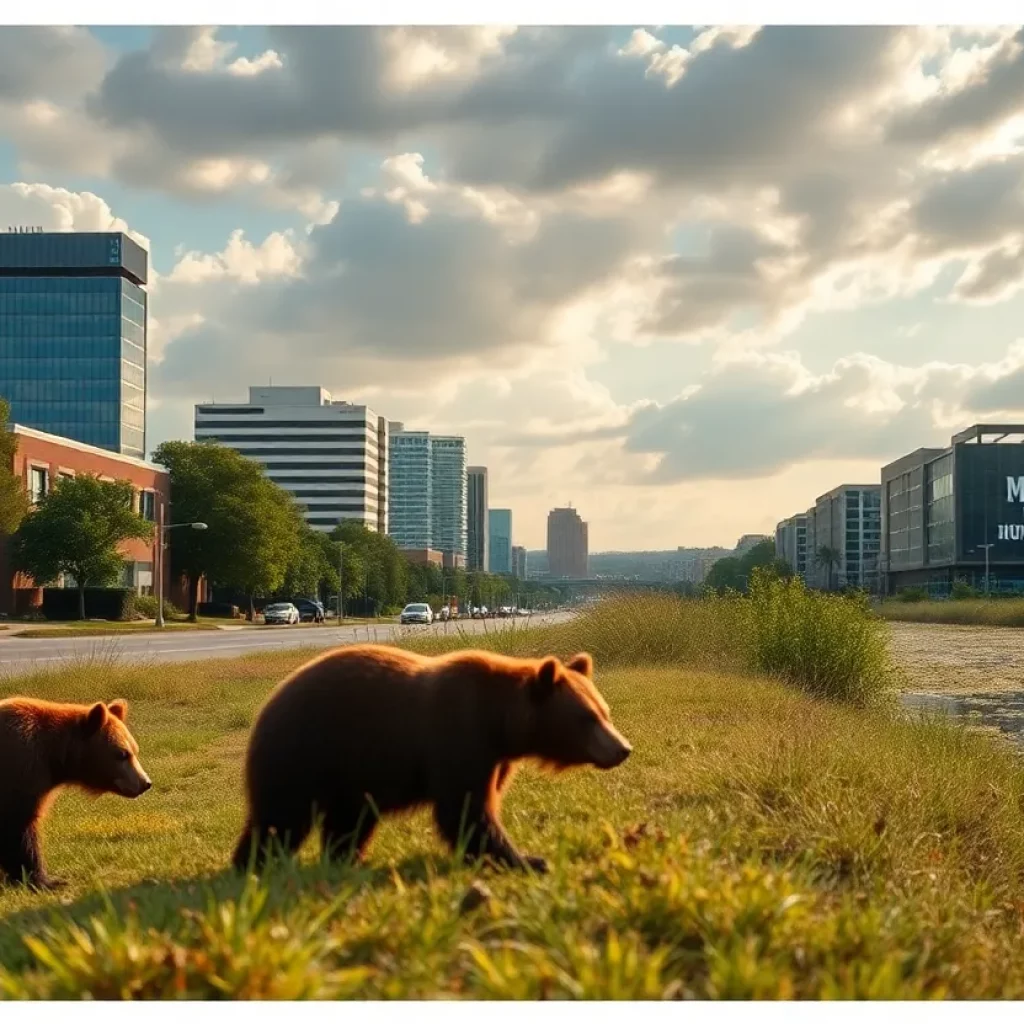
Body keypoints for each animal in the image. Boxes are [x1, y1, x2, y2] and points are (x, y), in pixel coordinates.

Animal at [0, 697, 152, 889]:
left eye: (135, 750)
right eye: (123, 753)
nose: (145, 783)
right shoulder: (21, 770)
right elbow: (19, 828)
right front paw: (45, 880)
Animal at [232, 644, 631, 874]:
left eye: (605, 712)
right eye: (587, 717)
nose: (622, 748)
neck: (500, 721)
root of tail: (268, 705)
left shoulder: (495, 757)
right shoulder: (459, 735)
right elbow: (467, 810)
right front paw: (528, 859)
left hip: (352, 772)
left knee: (349, 820)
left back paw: (348, 860)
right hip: (305, 750)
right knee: (281, 817)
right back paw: (253, 863)